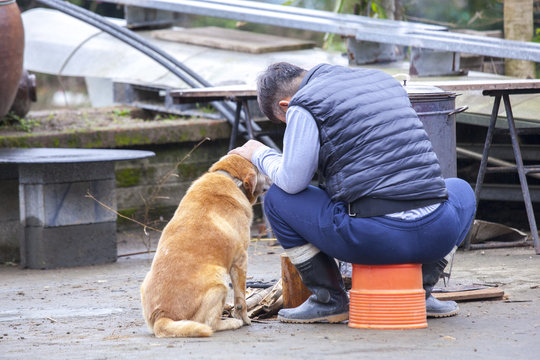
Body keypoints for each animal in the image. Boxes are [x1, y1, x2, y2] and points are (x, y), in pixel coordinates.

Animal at [141, 155, 272, 338]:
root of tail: (162, 316)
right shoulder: (240, 260)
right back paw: (231, 322)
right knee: (211, 324)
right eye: (259, 166)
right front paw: (245, 319)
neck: (230, 177)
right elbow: (241, 299)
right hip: (220, 283)